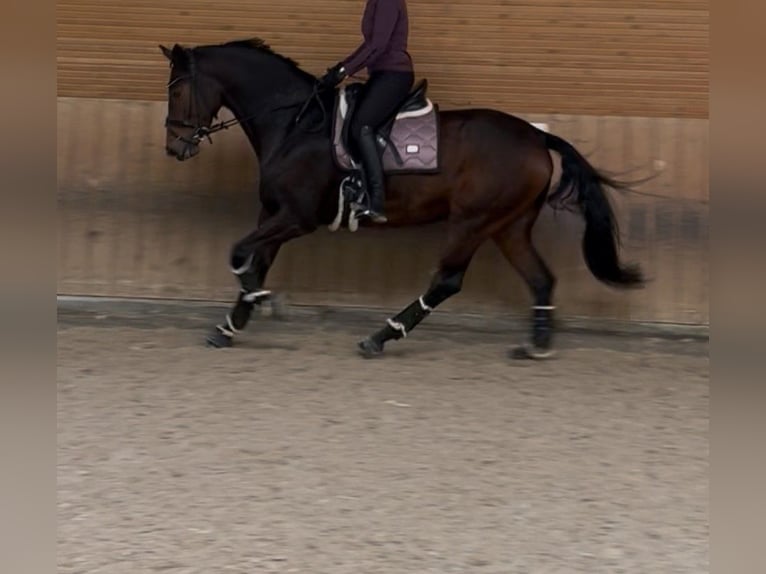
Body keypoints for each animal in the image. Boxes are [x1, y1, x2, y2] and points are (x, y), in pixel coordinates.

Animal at [159, 38, 644, 360]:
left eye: (177, 90)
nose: (175, 147)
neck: (296, 123)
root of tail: (537, 137)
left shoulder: (296, 217)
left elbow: (239, 252)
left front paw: (265, 303)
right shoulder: (273, 213)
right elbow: (253, 260)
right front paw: (231, 325)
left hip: (472, 221)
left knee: (448, 281)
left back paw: (382, 335)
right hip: (509, 226)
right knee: (541, 278)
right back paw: (536, 345)